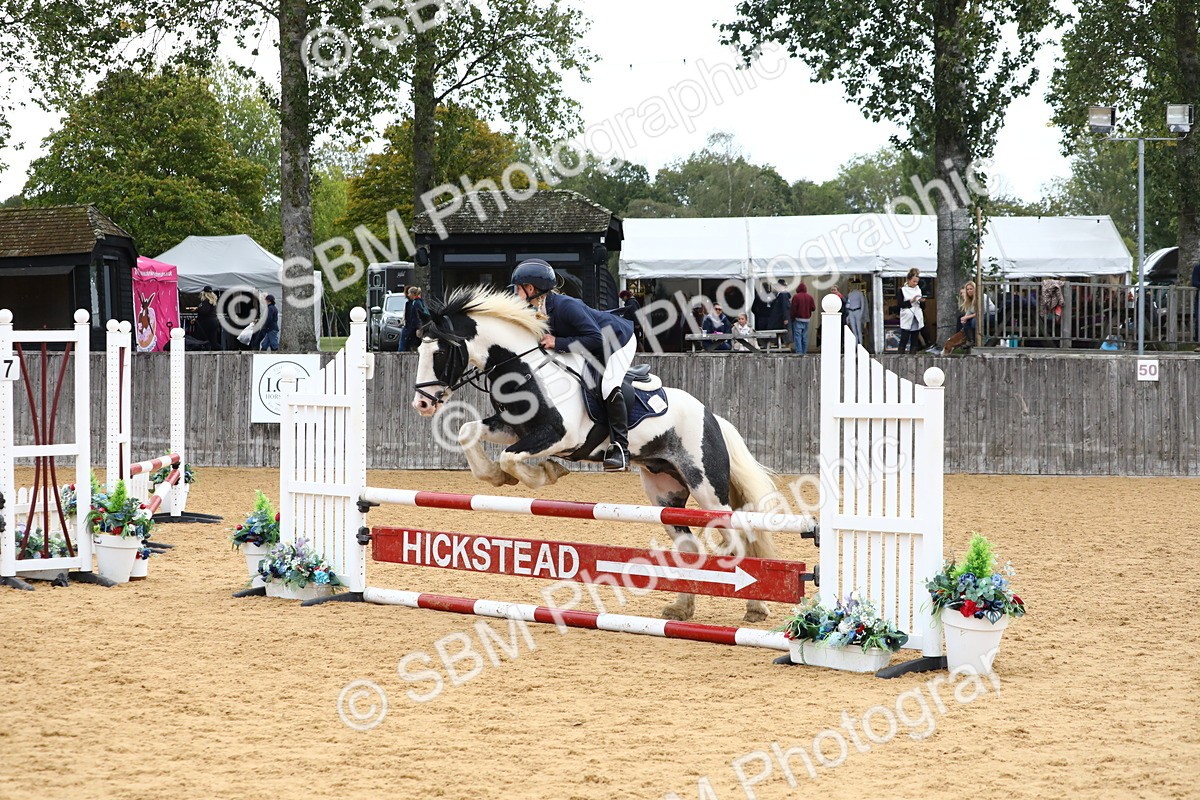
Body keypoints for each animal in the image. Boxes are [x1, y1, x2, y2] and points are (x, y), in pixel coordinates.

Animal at [410, 286, 783, 623]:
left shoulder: (560, 435)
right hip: (665, 494)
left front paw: (546, 472)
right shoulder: (514, 429)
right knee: (690, 547)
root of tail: (711, 415)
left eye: (440, 353)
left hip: (707, 489)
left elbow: (510, 457)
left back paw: (756, 608)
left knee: (736, 540)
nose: (422, 405)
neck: (526, 369)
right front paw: (498, 477)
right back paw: (681, 608)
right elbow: (469, 434)